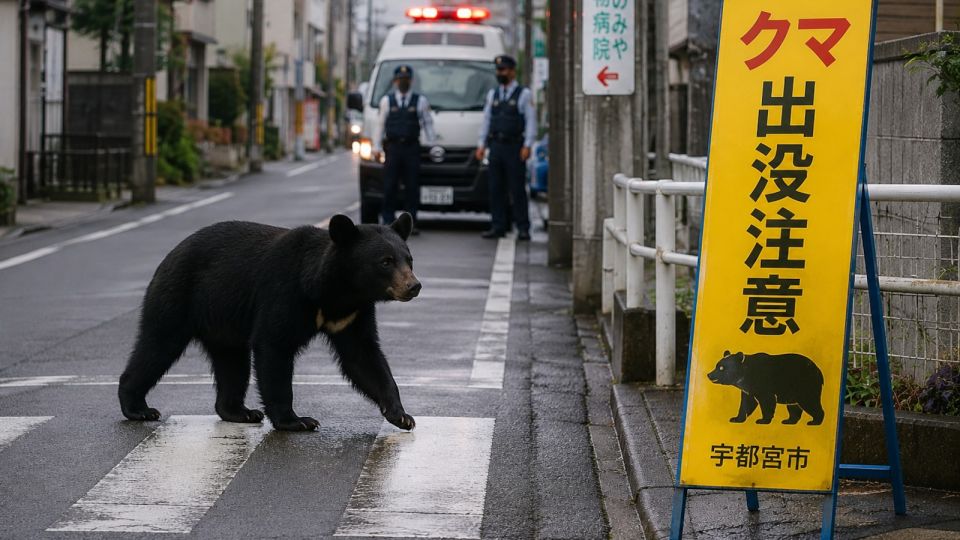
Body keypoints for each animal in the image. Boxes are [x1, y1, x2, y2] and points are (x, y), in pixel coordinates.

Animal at [118, 213, 420, 432]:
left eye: (409, 259)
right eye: (385, 261)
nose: (413, 286)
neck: (334, 292)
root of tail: (170, 254)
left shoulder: (352, 314)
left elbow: (364, 357)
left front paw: (401, 415)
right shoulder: (285, 292)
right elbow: (274, 347)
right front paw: (296, 421)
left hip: (223, 323)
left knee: (232, 364)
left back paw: (239, 411)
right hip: (178, 296)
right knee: (158, 345)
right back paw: (138, 407)